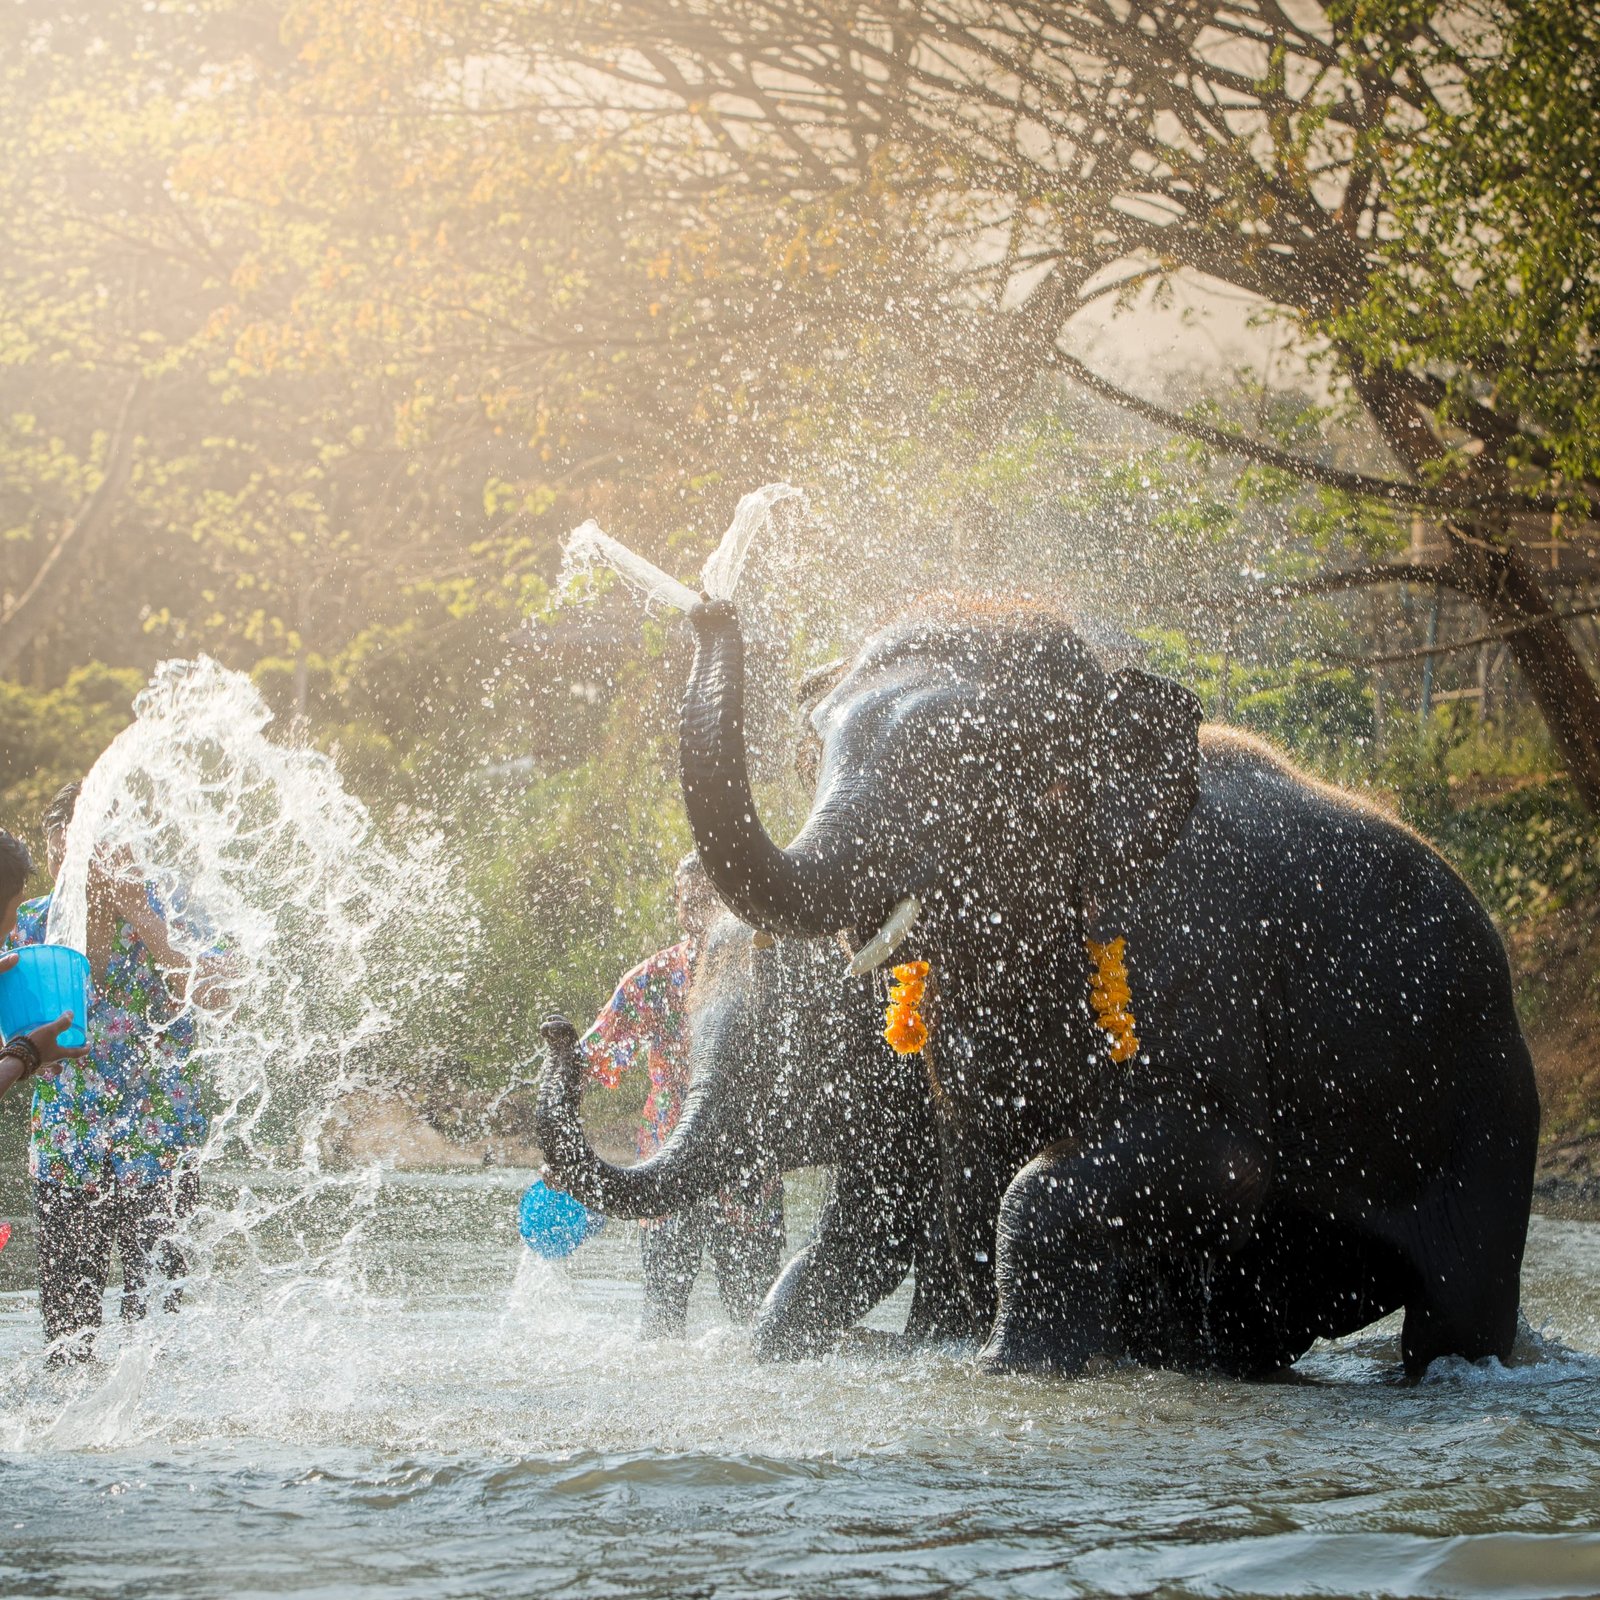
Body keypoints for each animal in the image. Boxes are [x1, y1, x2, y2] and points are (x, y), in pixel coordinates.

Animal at [681, 598, 1542, 1376]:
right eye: (816, 742)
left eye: (974, 757)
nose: (710, 610)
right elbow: (963, 1183)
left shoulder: (1197, 960)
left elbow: (1218, 1167)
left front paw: (1009, 1368)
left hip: (1487, 1098)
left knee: (1456, 1308)